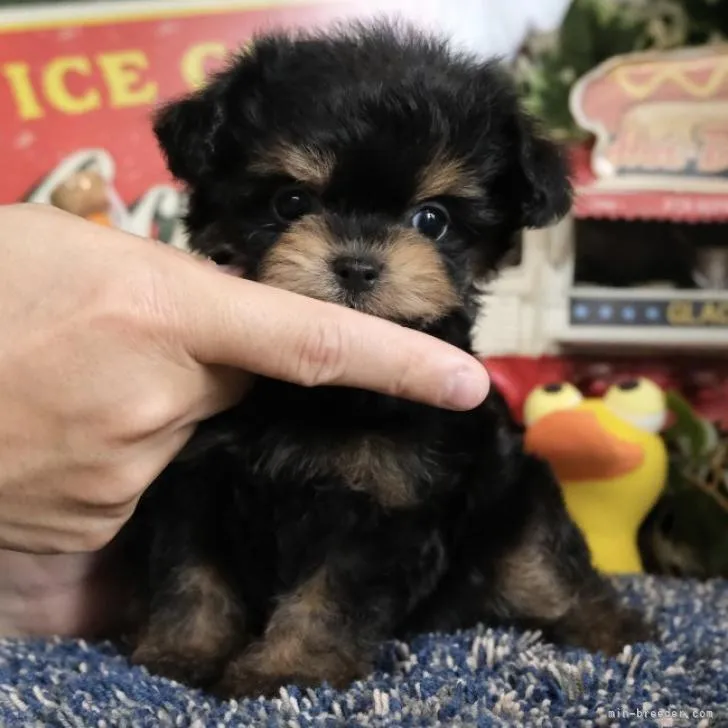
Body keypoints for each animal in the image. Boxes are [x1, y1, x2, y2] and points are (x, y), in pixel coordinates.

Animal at [122, 21, 652, 700]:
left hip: (516, 500)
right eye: (291, 202)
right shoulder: (194, 478)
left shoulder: (385, 502)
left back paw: (613, 631)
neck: (316, 395)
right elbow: (191, 573)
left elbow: (330, 595)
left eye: (433, 219)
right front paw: (180, 655)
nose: (357, 265)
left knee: (547, 568)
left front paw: (290, 670)